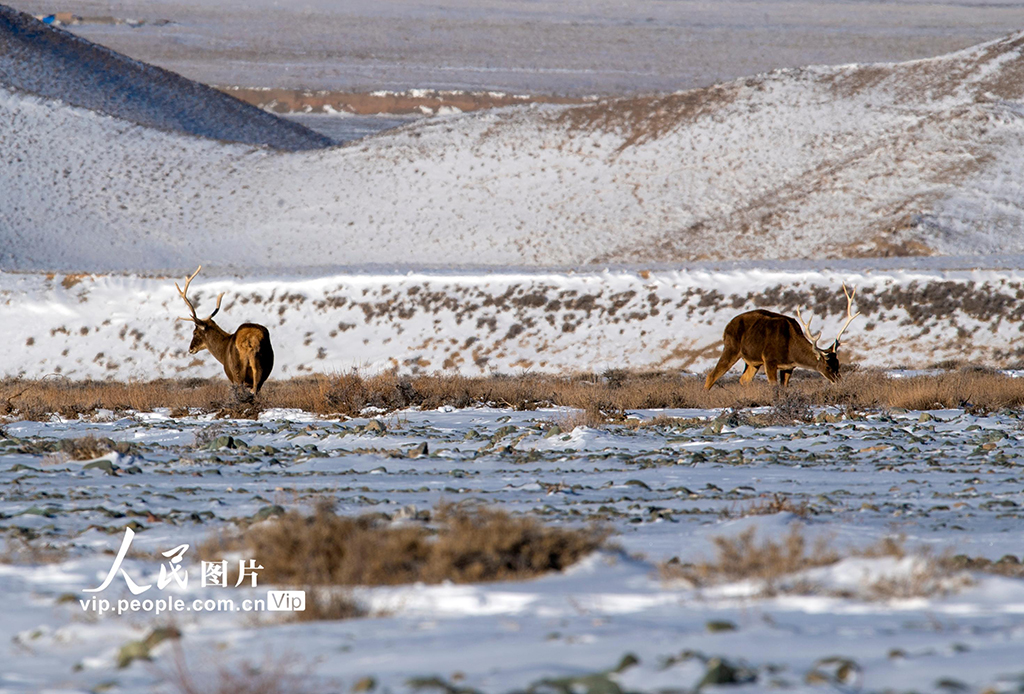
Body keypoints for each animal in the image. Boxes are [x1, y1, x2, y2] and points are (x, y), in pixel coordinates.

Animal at [176, 266, 274, 397]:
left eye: (194, 332)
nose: (190, 349)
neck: (222, 353)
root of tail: (250, 342)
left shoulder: (229, 373)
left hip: (238, 372)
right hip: (262, 370)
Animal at [700, 284, 860, 391]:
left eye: (838, 364)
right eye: (827, 366)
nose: (838, 381)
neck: (791, 352)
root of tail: (726, 326)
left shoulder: (789, 367)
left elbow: (784, 388)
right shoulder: (769, 360)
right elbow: (774, 386)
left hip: (752, 361)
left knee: (743, 379)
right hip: (731, 348)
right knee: (712, 375)